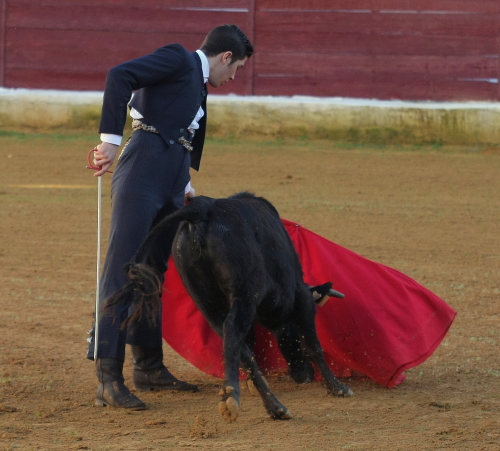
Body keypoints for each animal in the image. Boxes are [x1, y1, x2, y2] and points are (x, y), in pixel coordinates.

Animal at [105, 191, 354, 420]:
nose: (305, 375)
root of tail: (203, 208)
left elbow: (249, 346)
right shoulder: (300, 298)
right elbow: (313, 344)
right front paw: (338, 388)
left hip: (208, 304)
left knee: (235, 343)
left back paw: (271, 405)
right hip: (244, 294)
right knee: (234, 332)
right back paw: (238, 399)